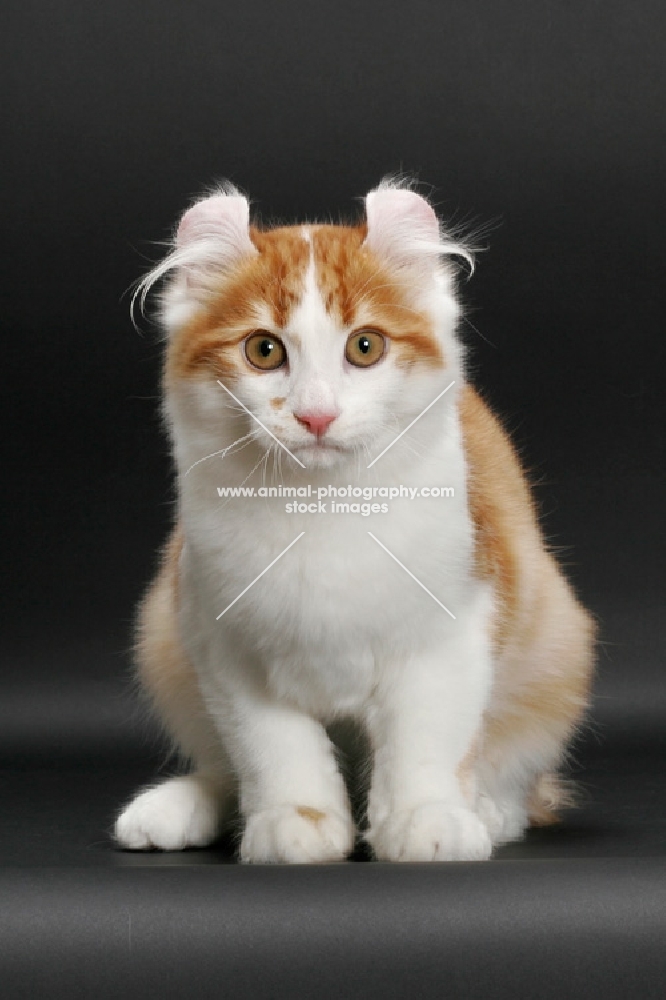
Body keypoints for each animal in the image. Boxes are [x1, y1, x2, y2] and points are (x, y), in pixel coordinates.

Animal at [114, 182, 592, 868]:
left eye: (365, 347)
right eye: (264, 351)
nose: (316, 415)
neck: (322, 507)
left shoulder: (451, 634)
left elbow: (425, 742)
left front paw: (426, 819)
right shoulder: (223, 642)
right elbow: (273, 751)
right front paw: (295, 822)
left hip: (558, 638)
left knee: (518, 776)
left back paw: (487, 810)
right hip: (163, 638)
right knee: (221, 770)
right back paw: (176, 809)